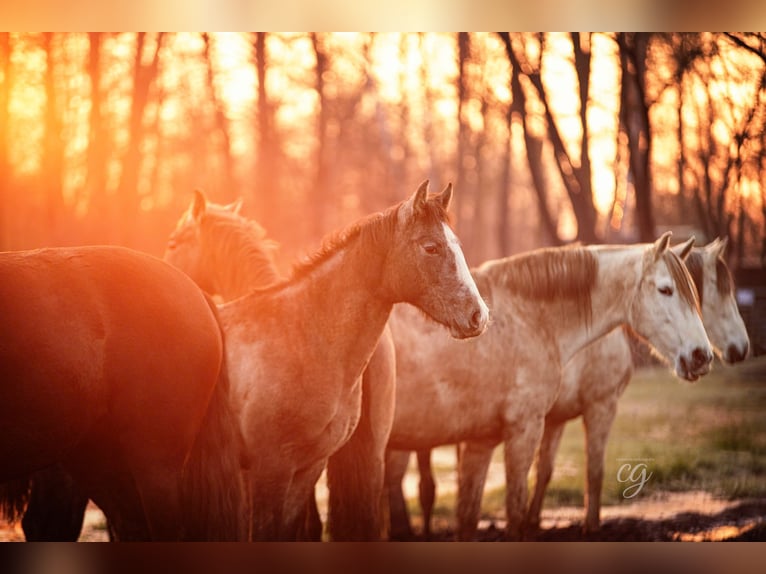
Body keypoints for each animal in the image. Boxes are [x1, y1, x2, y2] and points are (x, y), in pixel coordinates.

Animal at [384, 234, 712, 540]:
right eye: (665, 289)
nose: (701, 355)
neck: (530, 319)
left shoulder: (481, 441)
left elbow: (468, 517)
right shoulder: (529, 428)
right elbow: (520, 510)